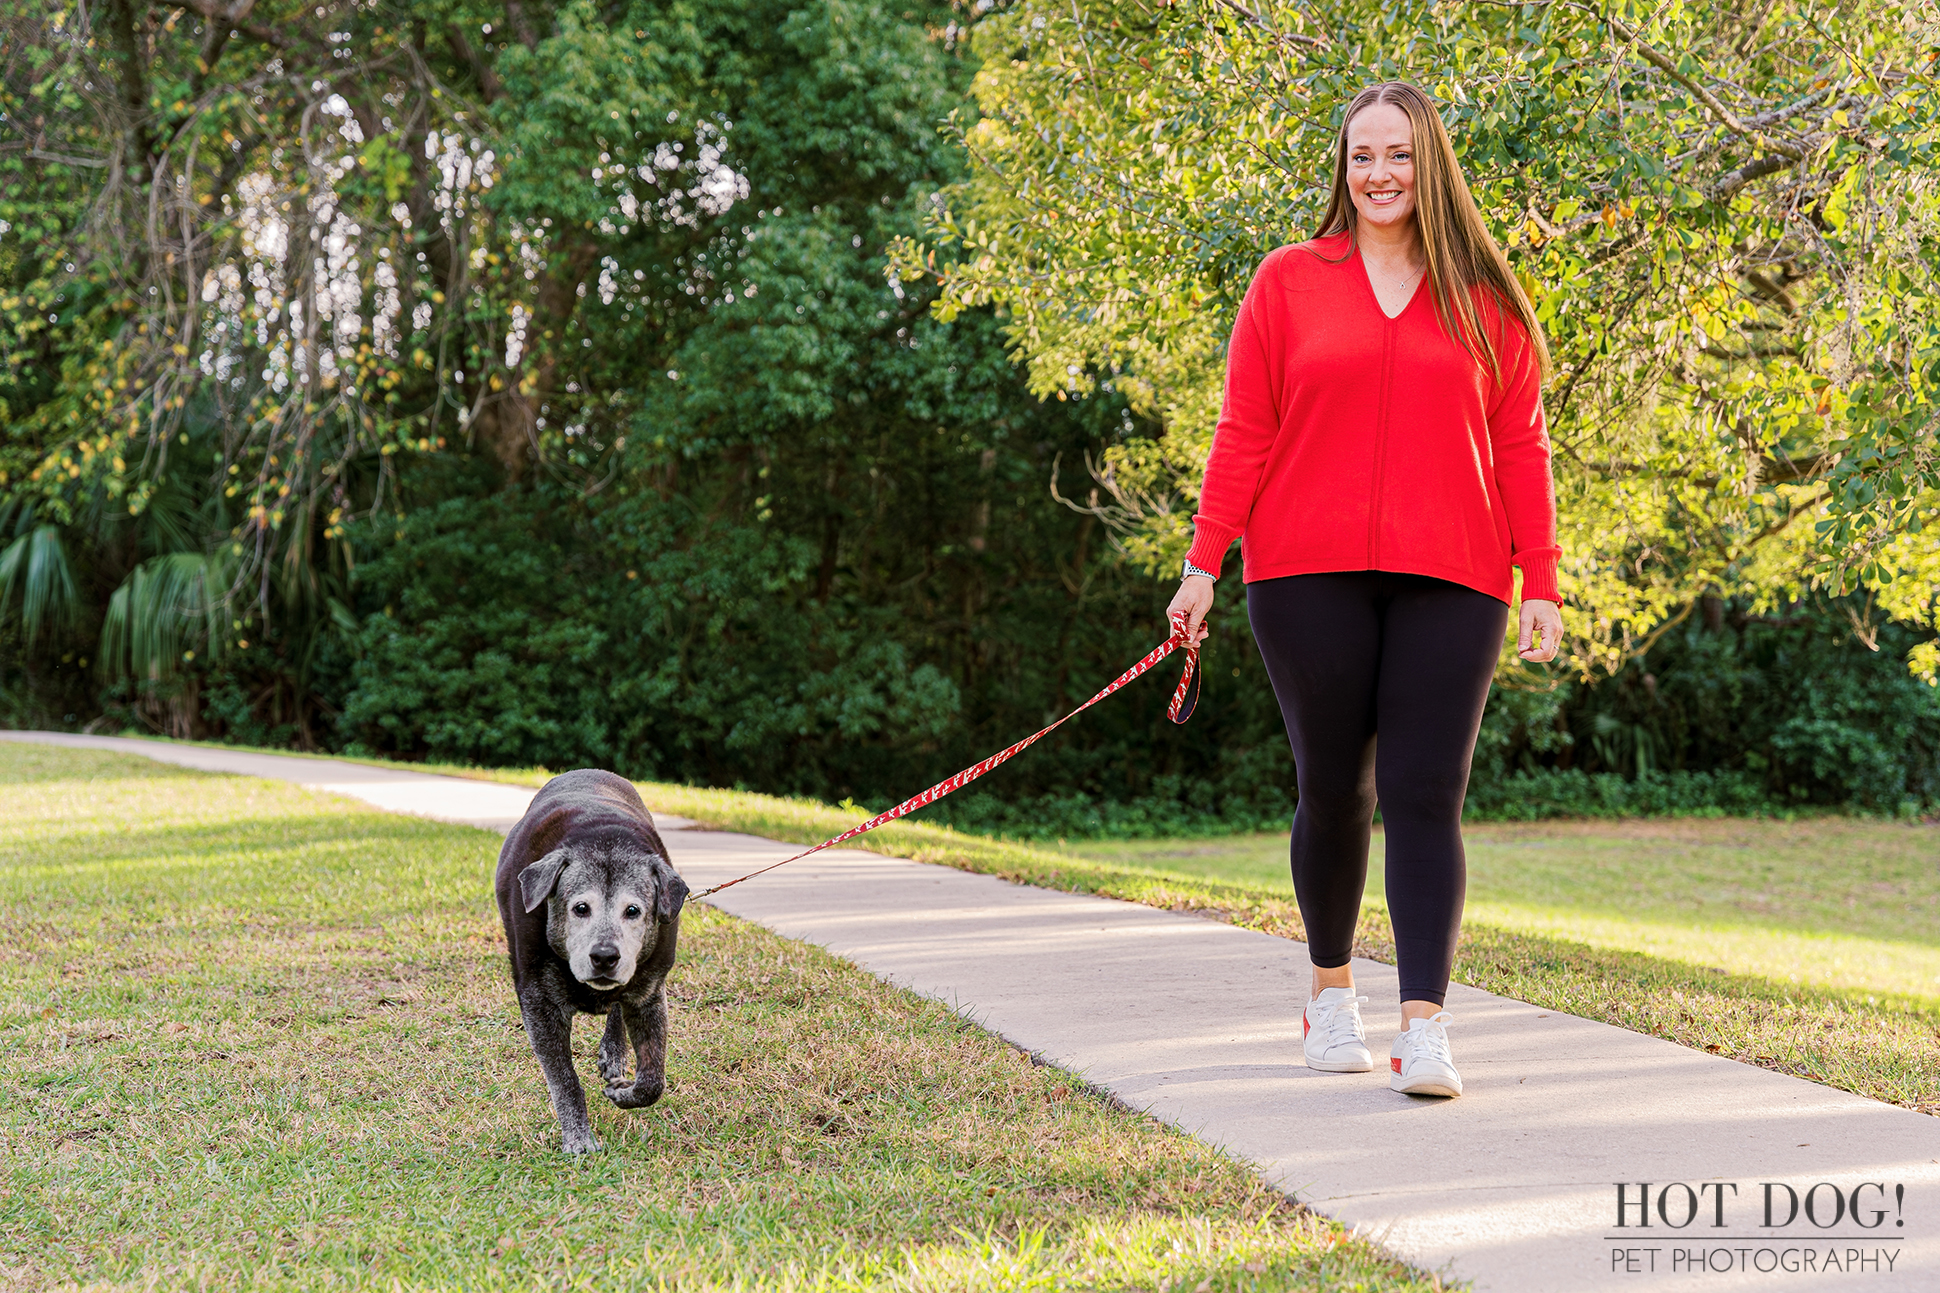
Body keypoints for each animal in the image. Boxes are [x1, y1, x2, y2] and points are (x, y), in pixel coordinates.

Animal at [492, 764, 690, 1149]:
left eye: (633, 910)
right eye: (580, 908)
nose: (604, 956)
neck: (602, 839)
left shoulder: (648, 992)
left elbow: (653, 1080)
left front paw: (623, 1091)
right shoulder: (539, 1002)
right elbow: (563, 1077)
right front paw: (578, 1137)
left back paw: (614, 1052)